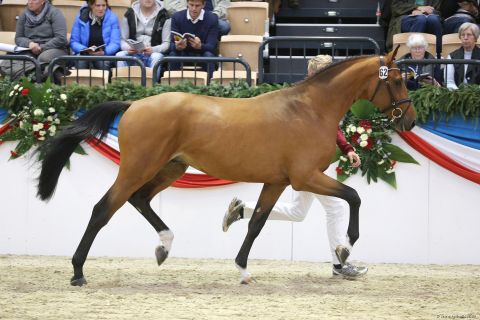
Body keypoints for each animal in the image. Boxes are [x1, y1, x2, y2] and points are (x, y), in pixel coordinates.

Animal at [36, 48, 416, 286]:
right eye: (397, 80)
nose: (409, 120)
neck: (309, 110)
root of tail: (134, 105)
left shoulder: (278, 182)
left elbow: (257, 223)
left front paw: (243, 270)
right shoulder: (305, 177)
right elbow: (353, 196)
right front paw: (345, 246)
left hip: (170, 168)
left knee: (139, 199)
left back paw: (164, 246)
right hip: (138, 167)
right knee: (104, 209)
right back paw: (78, 272)